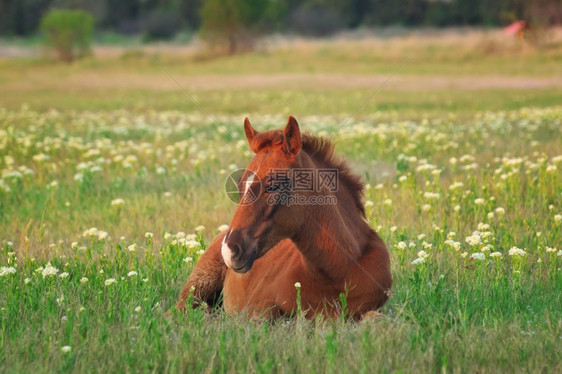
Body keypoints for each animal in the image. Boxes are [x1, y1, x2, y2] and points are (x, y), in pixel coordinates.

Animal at [175, 117, 390, 322]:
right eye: (240, 184)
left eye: (274, 185)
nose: (230, 250)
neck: (338, 272)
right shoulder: (257, 306)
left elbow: (376, 319)